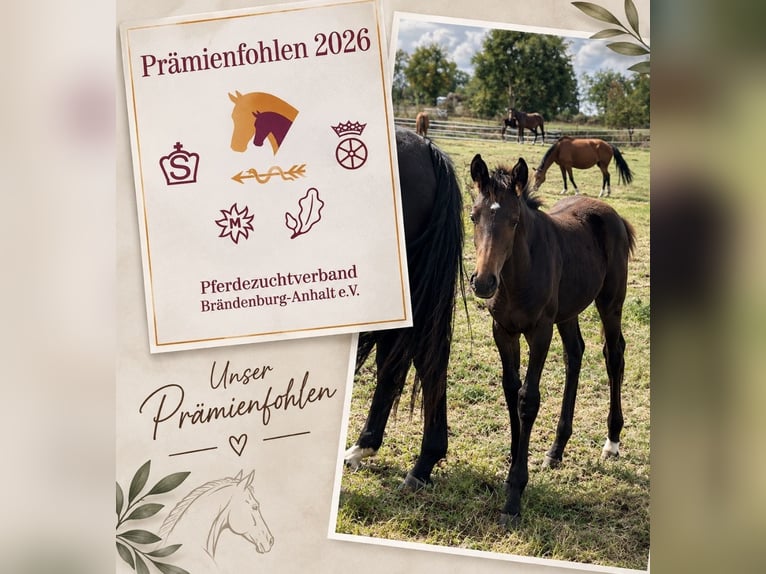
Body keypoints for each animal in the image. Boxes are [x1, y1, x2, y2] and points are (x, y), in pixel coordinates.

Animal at [469, 154, 635, 525]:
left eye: (515, 220)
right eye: (473, 216)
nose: (483, 282)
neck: (516, 275)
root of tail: (613, 214)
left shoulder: (540, 331)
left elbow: (528, 399)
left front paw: (515, 493)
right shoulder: (503, 331)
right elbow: (511, 390)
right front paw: (514, 464)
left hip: (610, 302)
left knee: (613, 354)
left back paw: (612, 441)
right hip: (569, 310)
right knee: (576, 354)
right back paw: (556, 450)